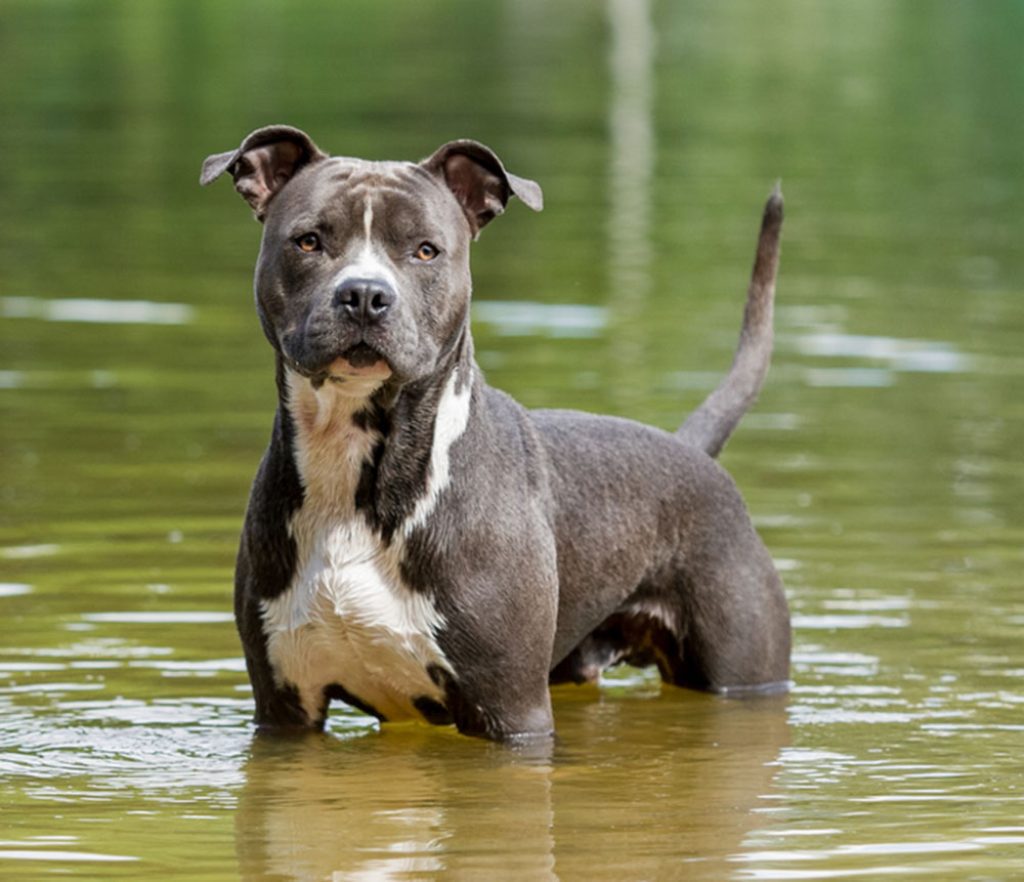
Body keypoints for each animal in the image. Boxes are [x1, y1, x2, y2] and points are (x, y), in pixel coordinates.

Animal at [201, 123, 790, 741]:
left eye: (426, 249)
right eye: (309, 241)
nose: (364, 294)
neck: (358, 465)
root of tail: (690, 450)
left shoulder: (510, 710)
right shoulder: (284, 708)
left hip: (743, 671)